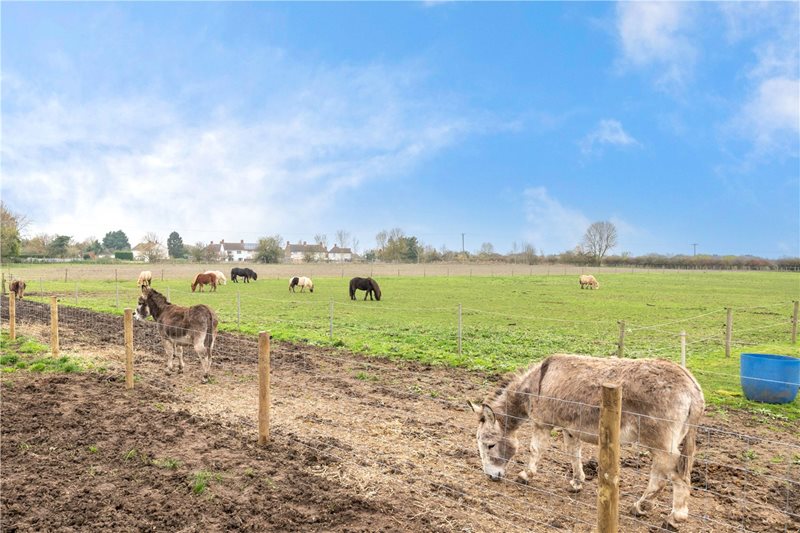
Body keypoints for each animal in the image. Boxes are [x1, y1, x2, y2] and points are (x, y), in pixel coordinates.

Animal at [468, 354, 708, 528]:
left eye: (489, 445)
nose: (490, 477)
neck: (536, 384)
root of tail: (692, 386)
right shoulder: (570, 429)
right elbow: (573, 453)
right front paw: (577, 482)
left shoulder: (543, 423)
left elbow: (536, 449)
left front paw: (526, 475)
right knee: (664, 472)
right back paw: (649, 508)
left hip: (659, 440)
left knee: (672, 474)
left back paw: (667, 515)